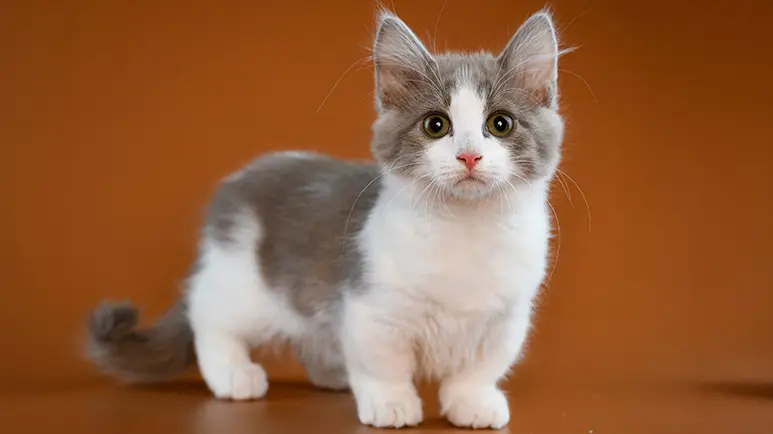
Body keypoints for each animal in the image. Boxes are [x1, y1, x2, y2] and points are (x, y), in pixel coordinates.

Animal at [86, 8, 568, 428]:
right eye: (436, 125)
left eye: (500, 124)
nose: (469, 155)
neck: (467, 230)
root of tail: (236, 185)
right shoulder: (370, 305)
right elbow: (383, 362)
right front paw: (391, 403)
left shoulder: (505, 317)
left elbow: (480, 367)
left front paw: (472, 402)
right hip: (243, 281)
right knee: (206, 314)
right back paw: (233, 373)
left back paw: (332, 372)